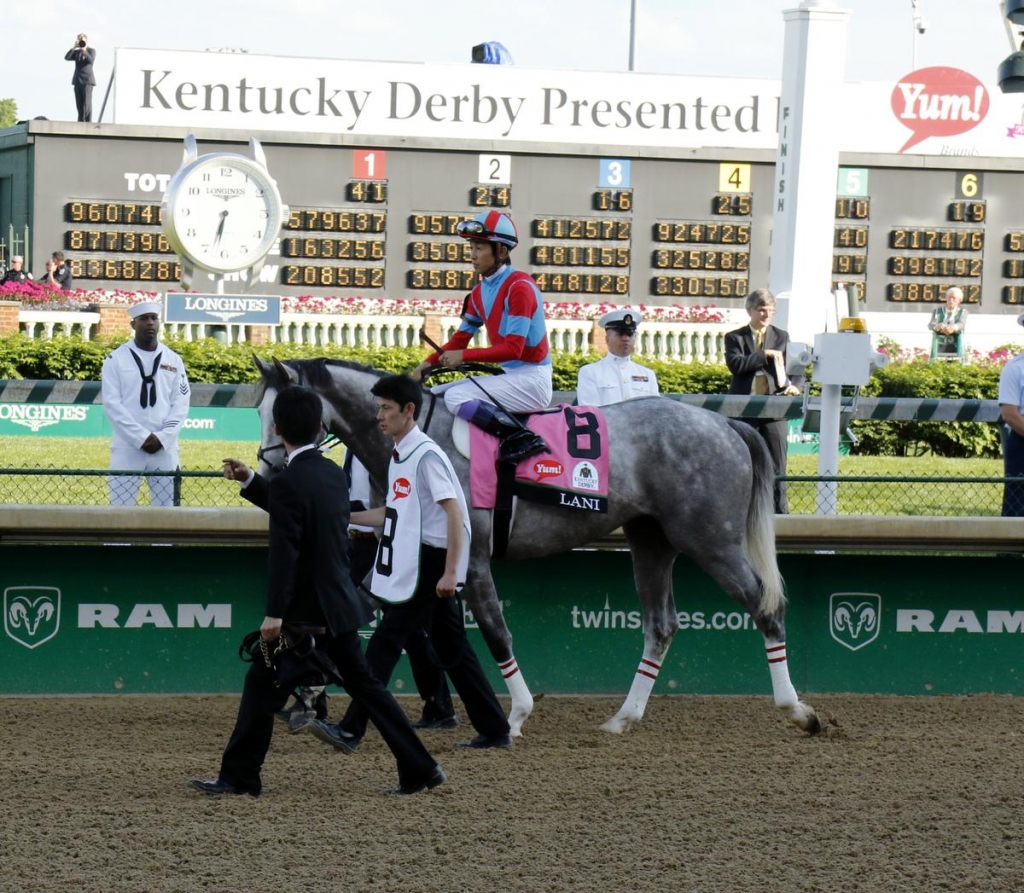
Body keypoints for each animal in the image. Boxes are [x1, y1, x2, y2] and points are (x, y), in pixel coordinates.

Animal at [256, 358, 823, 741]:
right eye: (262, 410)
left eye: (287, 411)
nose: (270, 468)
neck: (419, 437)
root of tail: (726, 423)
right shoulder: (405, 561)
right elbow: (358, 616)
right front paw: (307, 687)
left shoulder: (471, 558)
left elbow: (494, 630)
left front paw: (515, 715)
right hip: (651, 540)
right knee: (661, 625)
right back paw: (623, 717)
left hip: (710, 539)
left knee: (765, 605)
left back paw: (797, 710)